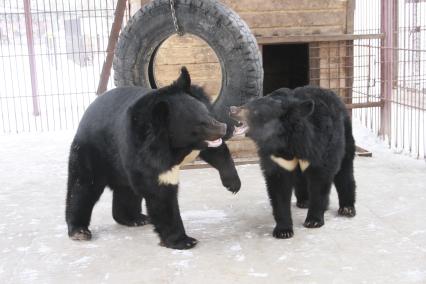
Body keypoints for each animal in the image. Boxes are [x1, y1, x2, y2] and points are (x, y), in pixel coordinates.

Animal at [65, 67, 241, 250]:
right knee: (83, 187)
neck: (179, 147)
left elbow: (217, 151)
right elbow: (160, 192)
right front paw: (184, 240)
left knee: (126, 190)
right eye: (200, 124)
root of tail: (87, 112)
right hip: (93, 152)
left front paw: (233, 184)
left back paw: (135, 218)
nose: (223, 127)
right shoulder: (146, 152)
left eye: (207, 114)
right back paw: (79, 230)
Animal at [230, 85, 356, 239]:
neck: (288, 140)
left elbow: (319, 181)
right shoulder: (277, 158)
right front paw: (283, 230)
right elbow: (279, 189)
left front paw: (313, 221)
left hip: (345, 133)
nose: (232, 109)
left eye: (255, 111)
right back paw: (304, 201)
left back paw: (347, 208)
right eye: (247, 104)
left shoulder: (319, 145)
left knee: (345, 170)